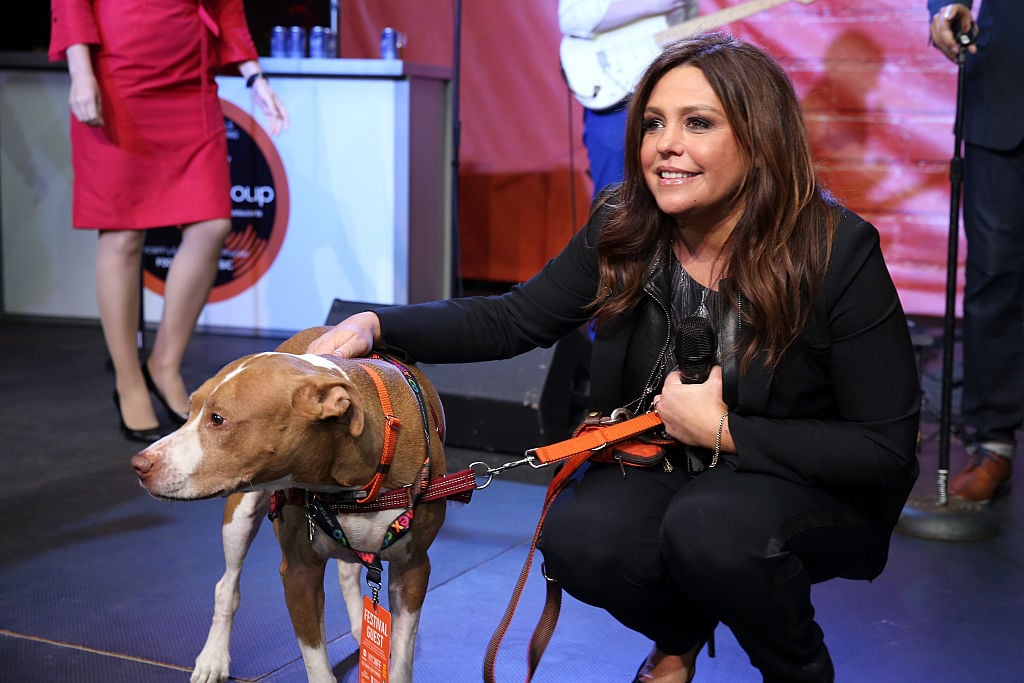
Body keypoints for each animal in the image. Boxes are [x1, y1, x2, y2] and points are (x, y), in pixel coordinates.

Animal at [131, 325, 456, 683]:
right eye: (189, 411)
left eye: (217, 419)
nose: (140, 464)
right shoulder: (299, 574)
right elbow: (317, 663)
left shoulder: (413, 570)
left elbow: (401, 660)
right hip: (239, 517)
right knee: (226, 587)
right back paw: (213, 658)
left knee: (346, 571)